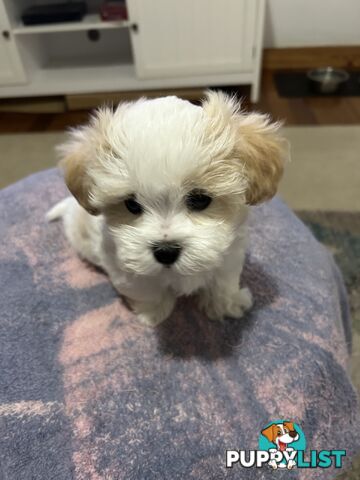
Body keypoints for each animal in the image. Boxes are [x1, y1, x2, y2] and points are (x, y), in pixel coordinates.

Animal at [47, 91, 288, 326]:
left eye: (200, 199)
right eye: (131, 204)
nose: (166, 251)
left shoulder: (230, 255)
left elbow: (223, 281)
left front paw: (226, 305)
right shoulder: (125, 268)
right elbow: (148, 290)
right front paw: (154, 313)